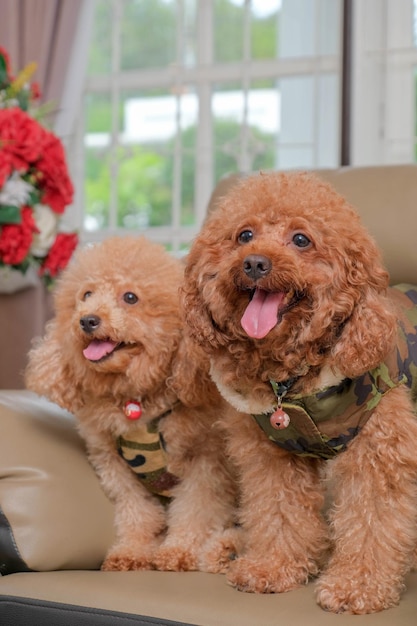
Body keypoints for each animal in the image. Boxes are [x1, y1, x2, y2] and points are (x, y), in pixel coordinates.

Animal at [26, 234, 236, 572]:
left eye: (130, 297)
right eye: (86, 294)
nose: (87, 320)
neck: (134, 400)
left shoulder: (206, 463)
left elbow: (194, 510)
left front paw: (178, 551)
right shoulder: (114, 465)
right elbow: (138, 513)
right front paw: (133, 552)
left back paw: (224, 550)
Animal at [181, 172, 416, 616]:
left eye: (301, 239)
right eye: (244, 235)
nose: (255, 263)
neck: (292, 381)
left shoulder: (378, 452)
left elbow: (371, 519)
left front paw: (356, 587)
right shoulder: (274, 454)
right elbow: (278, 512)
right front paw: (273, 567)